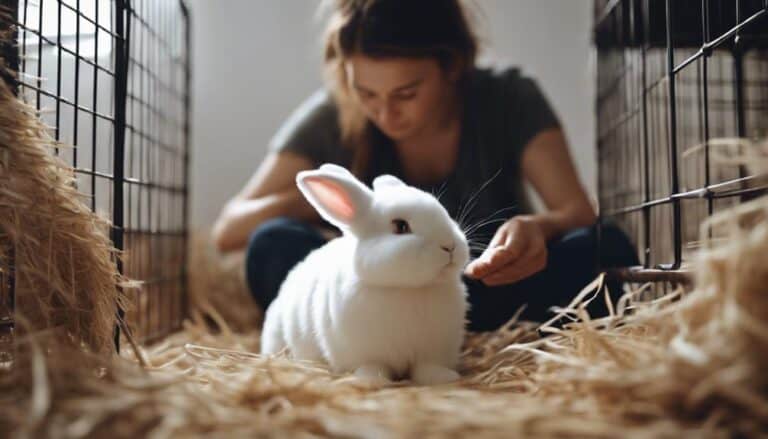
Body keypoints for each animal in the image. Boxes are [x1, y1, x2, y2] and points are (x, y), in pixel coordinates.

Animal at [260, 163, 470, 385]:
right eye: (400, 226)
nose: (450, 245)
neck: (407, 289)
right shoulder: (365, 353)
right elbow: (374, 367)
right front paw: (370, 380)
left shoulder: (433, 351)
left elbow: (428, 368)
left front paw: (446, 378)